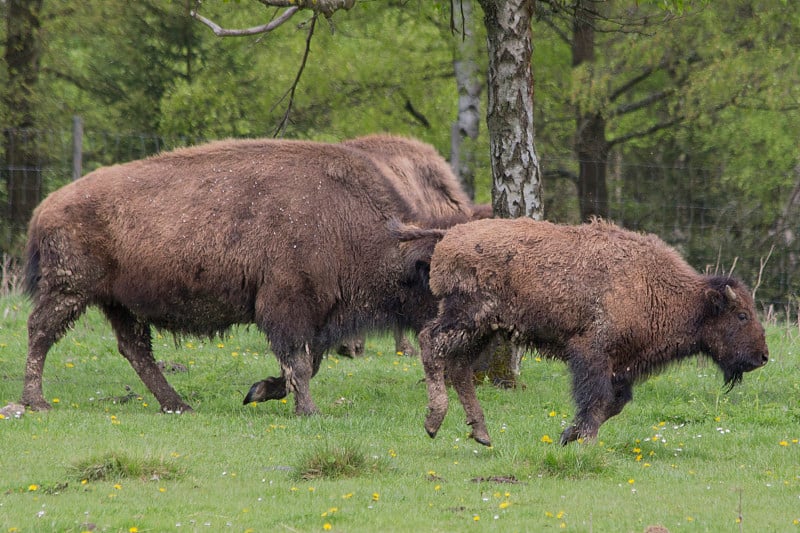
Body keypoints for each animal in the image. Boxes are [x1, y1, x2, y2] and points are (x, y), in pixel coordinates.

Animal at [21, 135, 476, 414]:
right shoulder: (287, 307)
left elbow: (308, 363)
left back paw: (178, 405)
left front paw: (258, 392)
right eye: (438, 286)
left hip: (120, 303)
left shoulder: (316, 317)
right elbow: (299, 362)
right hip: (69, 289)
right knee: (41, 332)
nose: (460, 332)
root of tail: (44, 208)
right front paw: (307, 410)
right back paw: (36, 402)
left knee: (135, 349)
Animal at [396, 216, 772, 444]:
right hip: (467, 317)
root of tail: (448, 235)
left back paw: (482, 433)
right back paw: (433, 422)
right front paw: (584, 438)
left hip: (483, 330)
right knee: (430, 343)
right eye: (741, 315)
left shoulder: (623, 365)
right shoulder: (593, 352)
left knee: (459, 366)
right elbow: (597, 398)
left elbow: (615, 403)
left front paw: (568, 434)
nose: (763, 357)